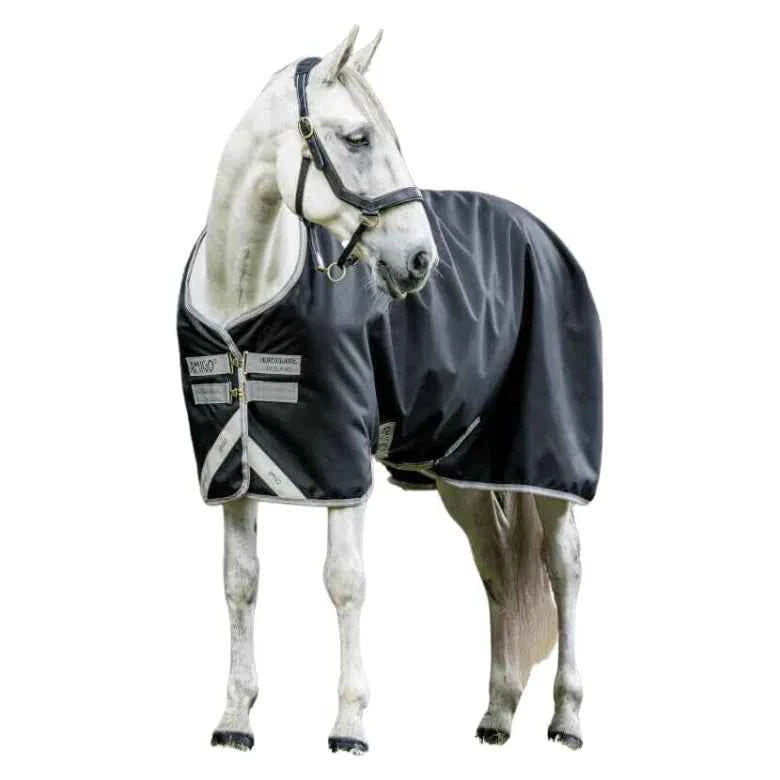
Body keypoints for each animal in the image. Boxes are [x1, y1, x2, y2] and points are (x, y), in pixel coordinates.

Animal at [178, 26, 600, 754]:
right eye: (357, 138)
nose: (421, 261)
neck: (244, 294)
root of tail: (542, 236)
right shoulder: (233, 468)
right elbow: (240, 584)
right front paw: (235, 719)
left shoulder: (340, 463)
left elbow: (344, 583)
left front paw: (349, 725)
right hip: (466, 472)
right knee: (496, 569)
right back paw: (496, 714)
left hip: (544, 459)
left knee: (564, 568)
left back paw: (567, 719)